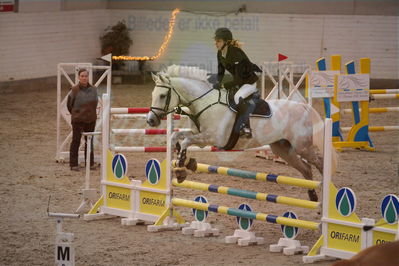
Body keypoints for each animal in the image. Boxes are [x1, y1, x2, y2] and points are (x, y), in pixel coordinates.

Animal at [148, 65, 338, 202]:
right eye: (153, 94)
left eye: (163, 95)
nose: (151, 121)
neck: (204, 103)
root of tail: (303, 106)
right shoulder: (200, 135)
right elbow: (176, 137)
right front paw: (185, 160)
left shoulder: (213, 138)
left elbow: (186, 141)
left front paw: (182, 167)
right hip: (284, 149)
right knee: (306, 168)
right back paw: (313, 196)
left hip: (302, 146)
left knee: (320, 163)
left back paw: (328, 192)